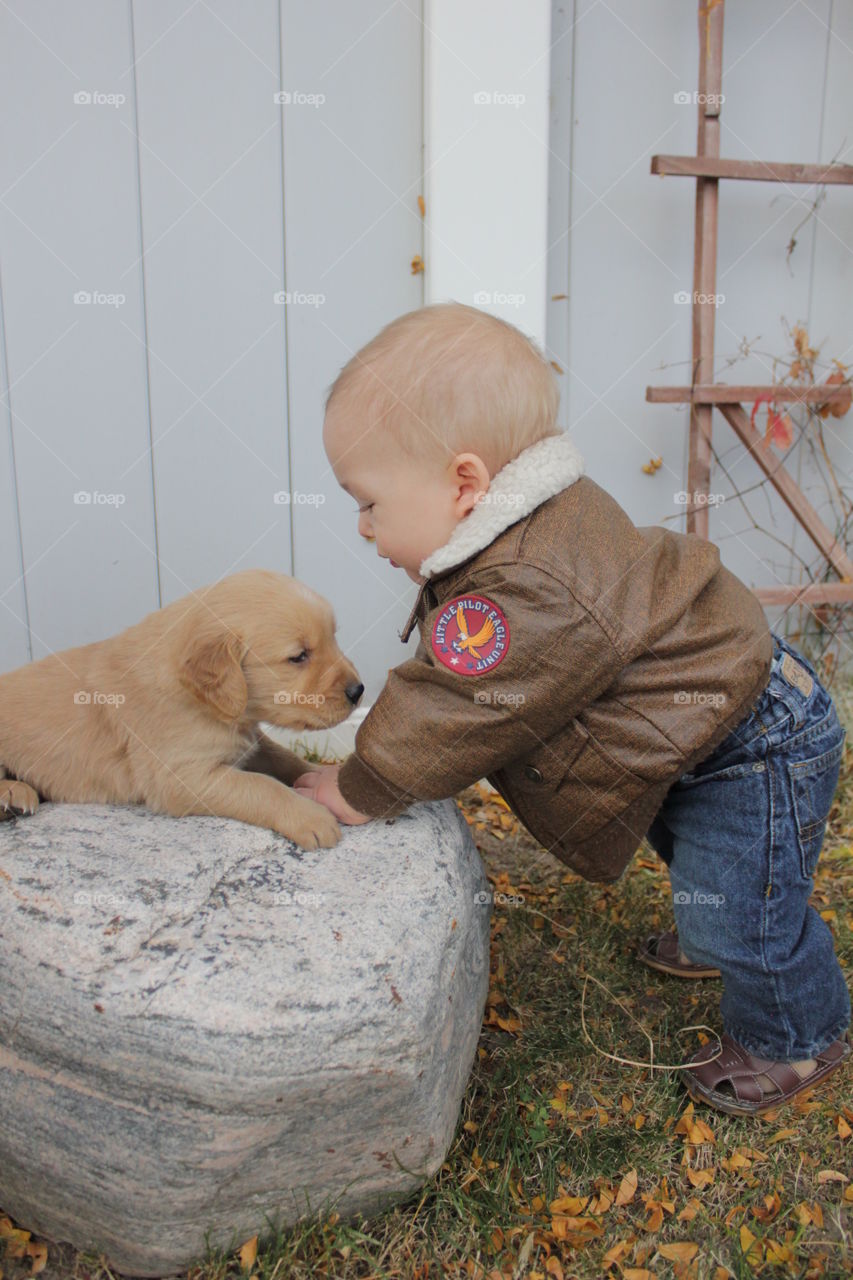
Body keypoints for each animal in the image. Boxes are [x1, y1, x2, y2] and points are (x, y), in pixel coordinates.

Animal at [0, 570, 361, 849]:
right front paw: (310, 816)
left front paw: (323, 778)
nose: (358, 691)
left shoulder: (248, 741)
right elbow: (260, 786)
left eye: (333, 638)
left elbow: (284, 758)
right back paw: (13, 795)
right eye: (299, 656)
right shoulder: (182, 775)